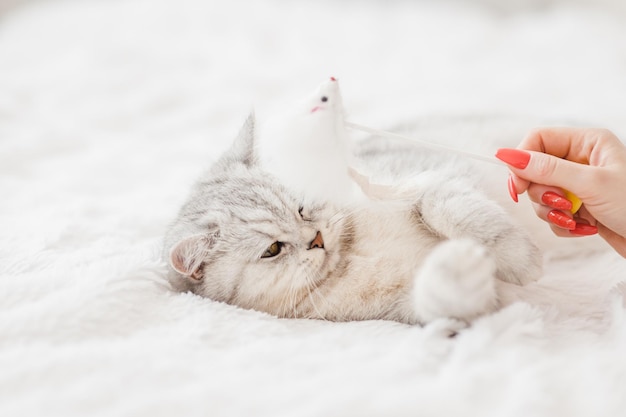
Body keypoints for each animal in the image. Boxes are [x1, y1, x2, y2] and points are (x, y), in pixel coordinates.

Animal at [162, 109, 540, 322]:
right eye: (273, 249)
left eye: (301, 207)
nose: (316, 239)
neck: (353, 252)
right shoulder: (402, 309)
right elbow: (441, 295)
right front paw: (462, 265)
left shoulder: (424, 180)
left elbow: (448, 208)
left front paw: (517, 257)